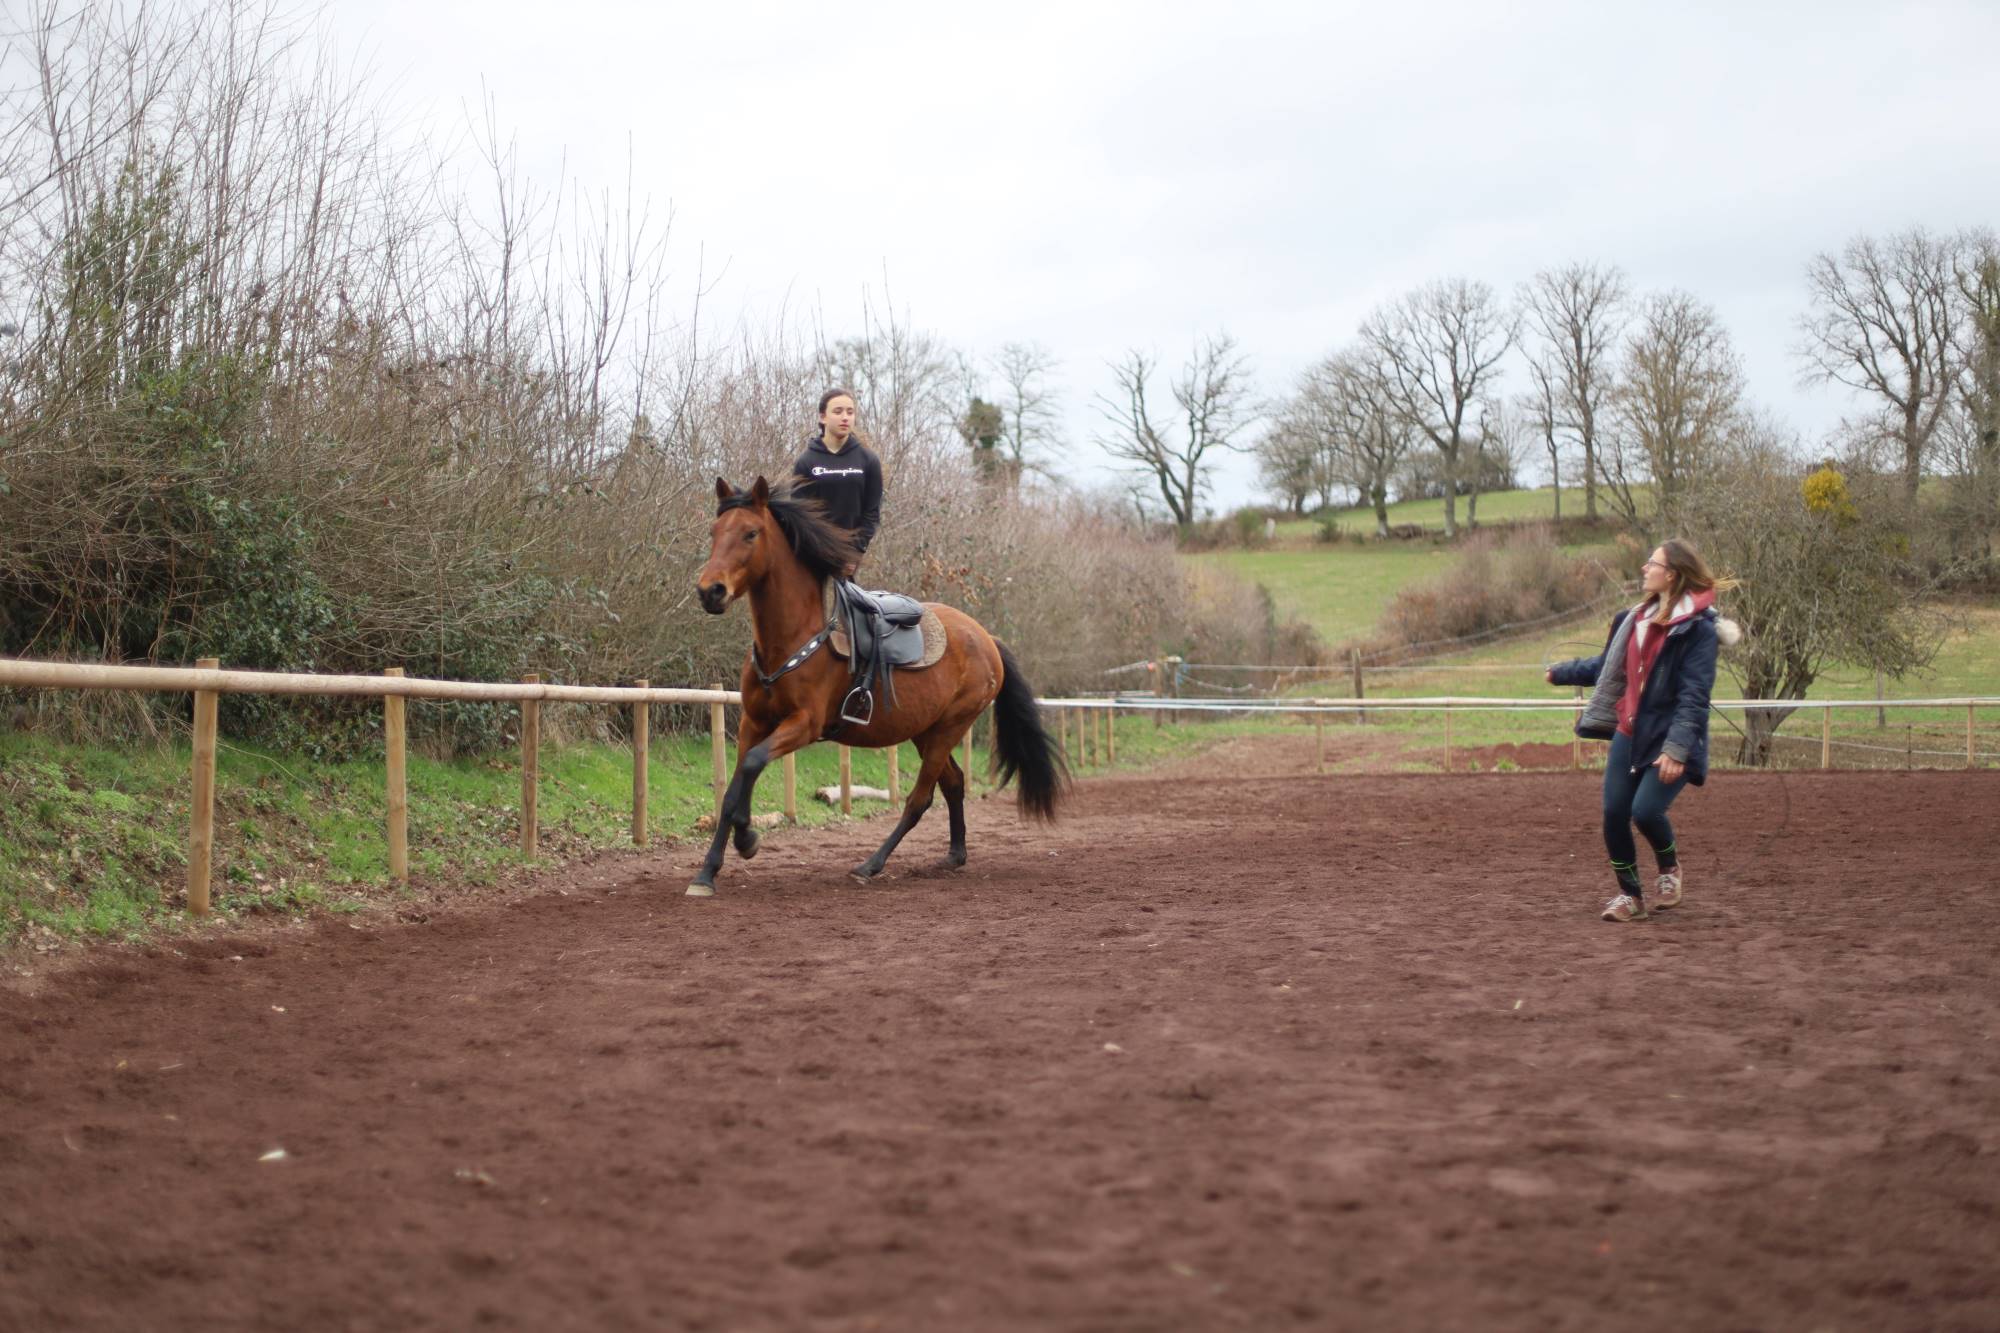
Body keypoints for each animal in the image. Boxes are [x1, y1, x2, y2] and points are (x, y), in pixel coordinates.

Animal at [688, 472, 1064, 896]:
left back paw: (872, 863)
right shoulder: (753, 723)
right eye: (714, 531)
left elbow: (752, 765)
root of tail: (986, 638)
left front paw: (747, 837)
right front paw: (708, 872)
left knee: (920, 799)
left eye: (751, 533)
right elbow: (733, 789)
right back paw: (954, 855)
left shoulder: (804, 725)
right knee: (953, 783)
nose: (710, 591)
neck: (794, 638)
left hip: (949, 728)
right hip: (926, 730)